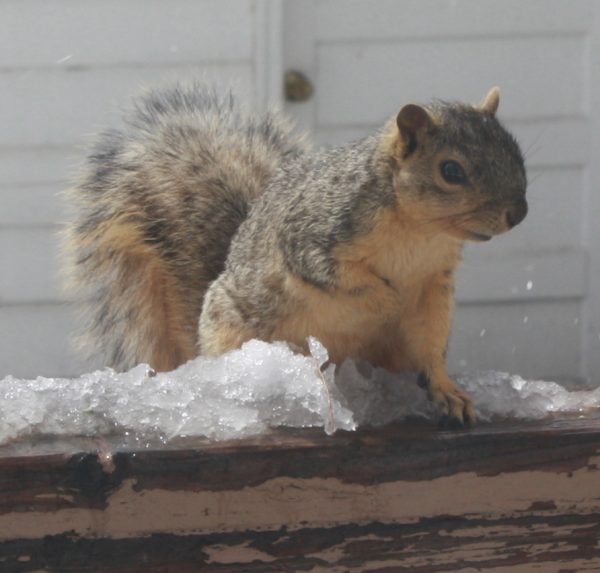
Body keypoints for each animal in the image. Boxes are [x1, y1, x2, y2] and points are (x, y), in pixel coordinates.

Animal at [63, 84, 528, 424]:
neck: (421, 232)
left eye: (516, 152)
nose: (518, 213)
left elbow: (430, 343)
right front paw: (385, 301)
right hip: (237, 333)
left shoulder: (434, 286)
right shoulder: (313, 237)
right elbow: (342, 277)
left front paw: (446, 389)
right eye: (451, 171)